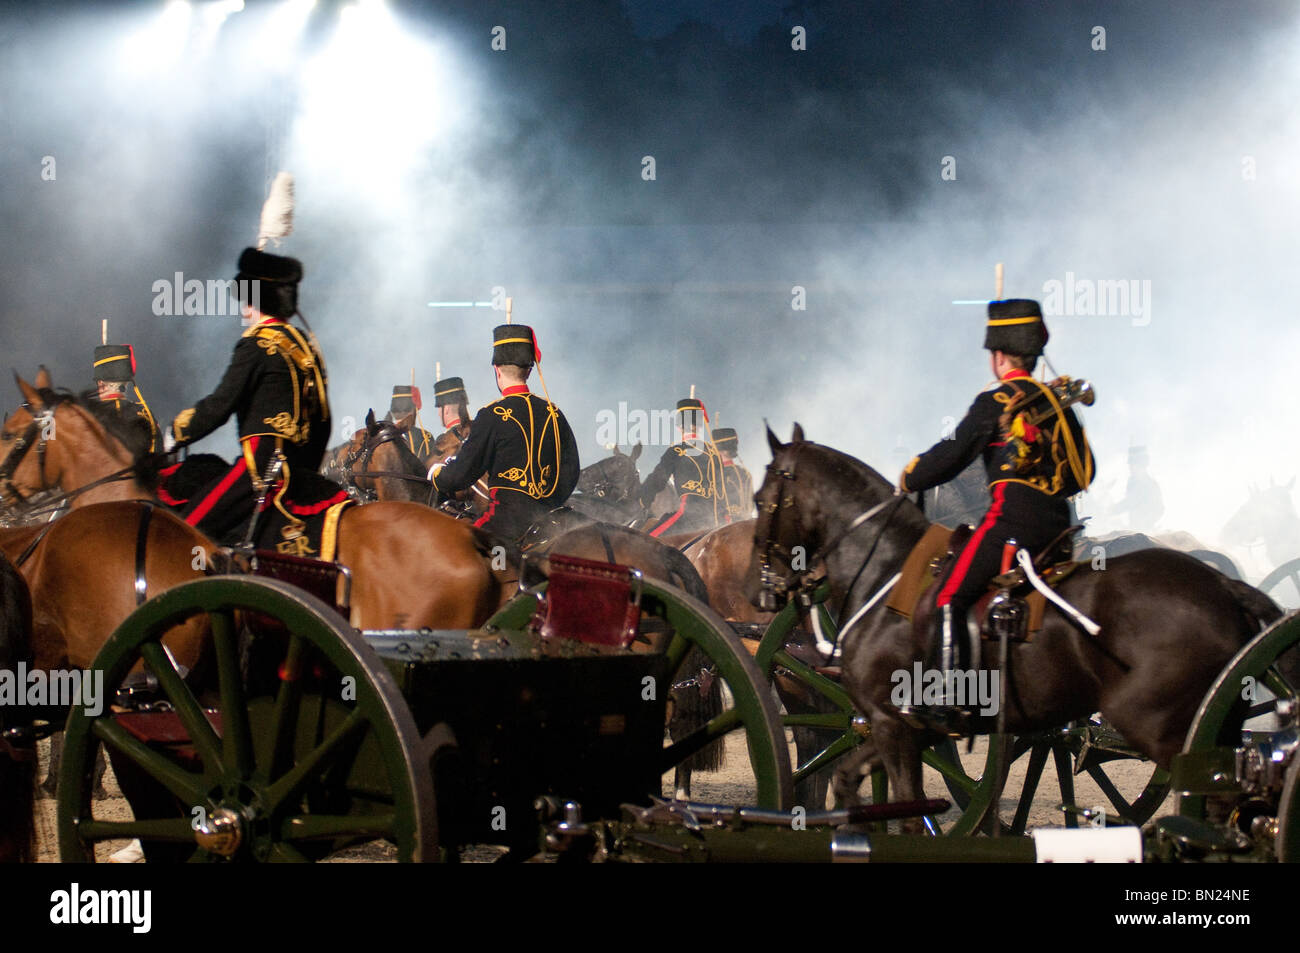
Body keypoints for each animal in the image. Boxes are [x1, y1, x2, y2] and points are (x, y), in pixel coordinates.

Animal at [754, 423, 1279, 826]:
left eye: (762, 498)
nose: (768, 584)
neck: (891, 570)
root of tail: (1222, 582)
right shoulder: (905, 726)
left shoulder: (891, 721)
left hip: (1155, 722)